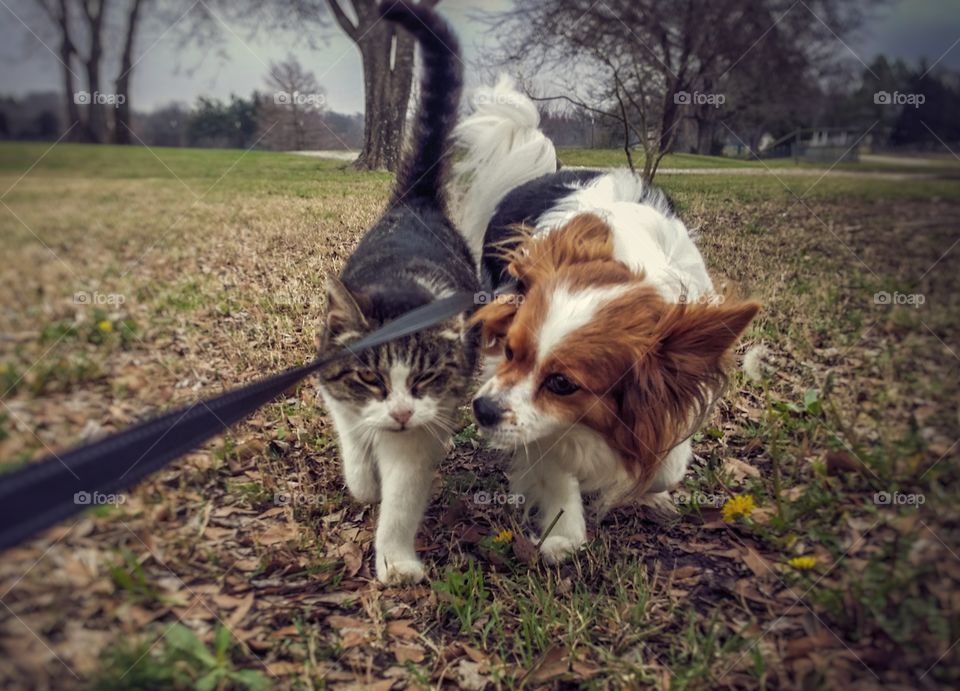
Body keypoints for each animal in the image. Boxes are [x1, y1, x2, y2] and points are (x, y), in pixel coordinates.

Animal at [450, 77, 756, 564]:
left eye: (562, 383)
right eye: (512, 351)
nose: (483, 409)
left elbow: (666, 459)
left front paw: (651, 485)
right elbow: (556, 466)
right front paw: (564, 531)